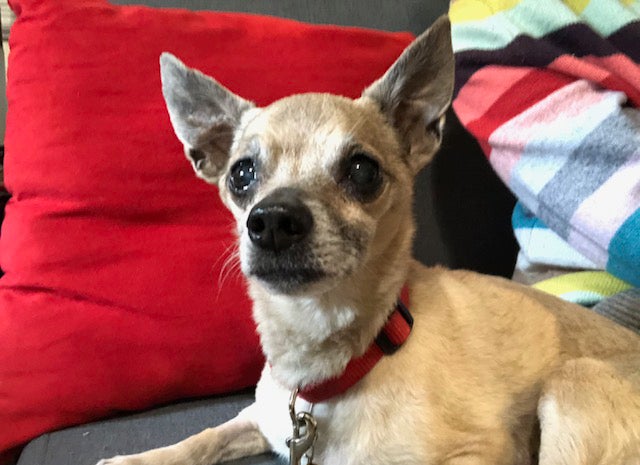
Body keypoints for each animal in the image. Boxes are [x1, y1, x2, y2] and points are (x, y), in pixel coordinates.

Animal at [96, 17, 640, 464]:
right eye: (241, 174)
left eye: (362, 171)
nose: (271, 221)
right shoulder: (260, 418)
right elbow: (205, 437)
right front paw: (138, 459)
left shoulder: (482, 452)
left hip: (571, 383)